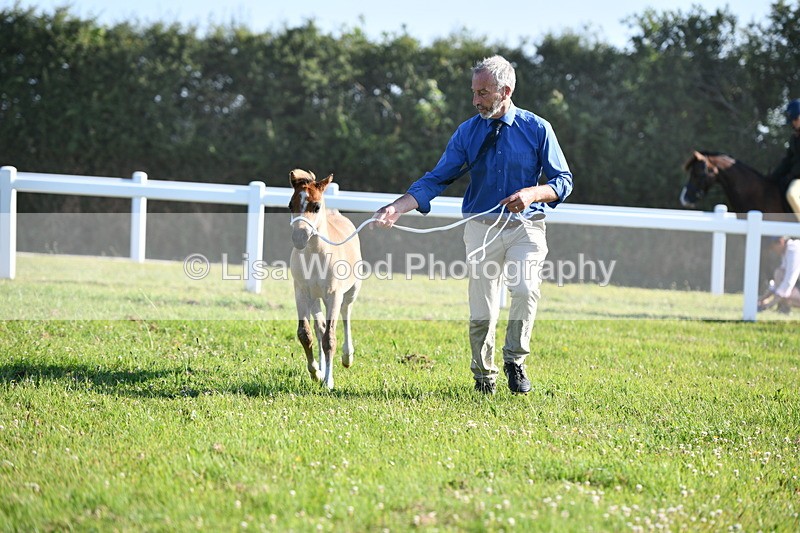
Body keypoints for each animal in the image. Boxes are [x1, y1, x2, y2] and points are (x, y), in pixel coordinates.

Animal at [288, 169, 362, 390]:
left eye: (316, 206)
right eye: (290, 205)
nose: (299, 238)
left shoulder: (334, 295)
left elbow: (330, 338)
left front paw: (329, 381)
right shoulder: (301, 293)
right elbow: (306, 333)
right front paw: (316, 373)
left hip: (351, 291)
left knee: (346, 314)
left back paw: (347, 357)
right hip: (315, 299)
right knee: (319, 328)